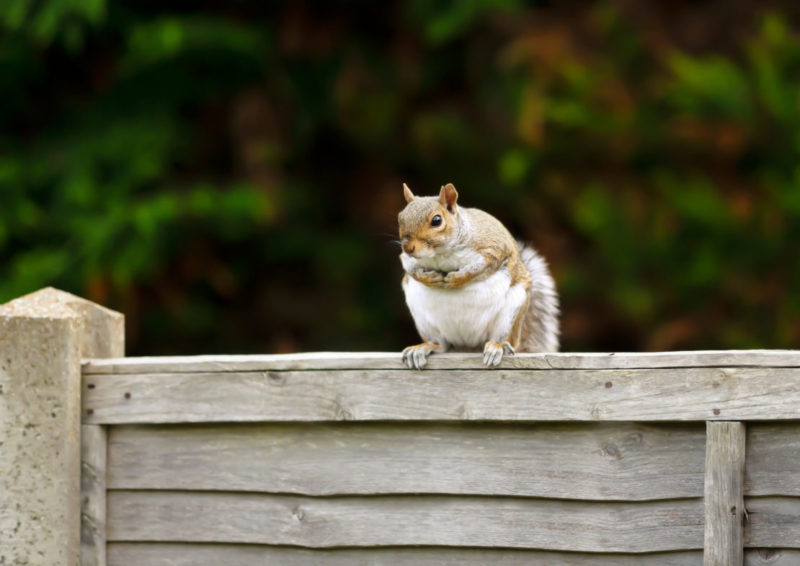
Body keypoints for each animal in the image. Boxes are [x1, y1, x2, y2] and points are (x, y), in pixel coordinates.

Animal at [398, 182, 559, 369]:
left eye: (436, 221)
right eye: (400, 217)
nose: (408, 247)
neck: (440, 254)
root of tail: (468, 345)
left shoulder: (493, 248)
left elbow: (481, 267)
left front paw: (458, 278)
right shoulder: (407, 258)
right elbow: (409, 267)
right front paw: (428, 278)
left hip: (512, 310)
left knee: (505, 338)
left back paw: (499, 347)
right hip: (423, 319)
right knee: (441, 345)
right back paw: (423, 348)